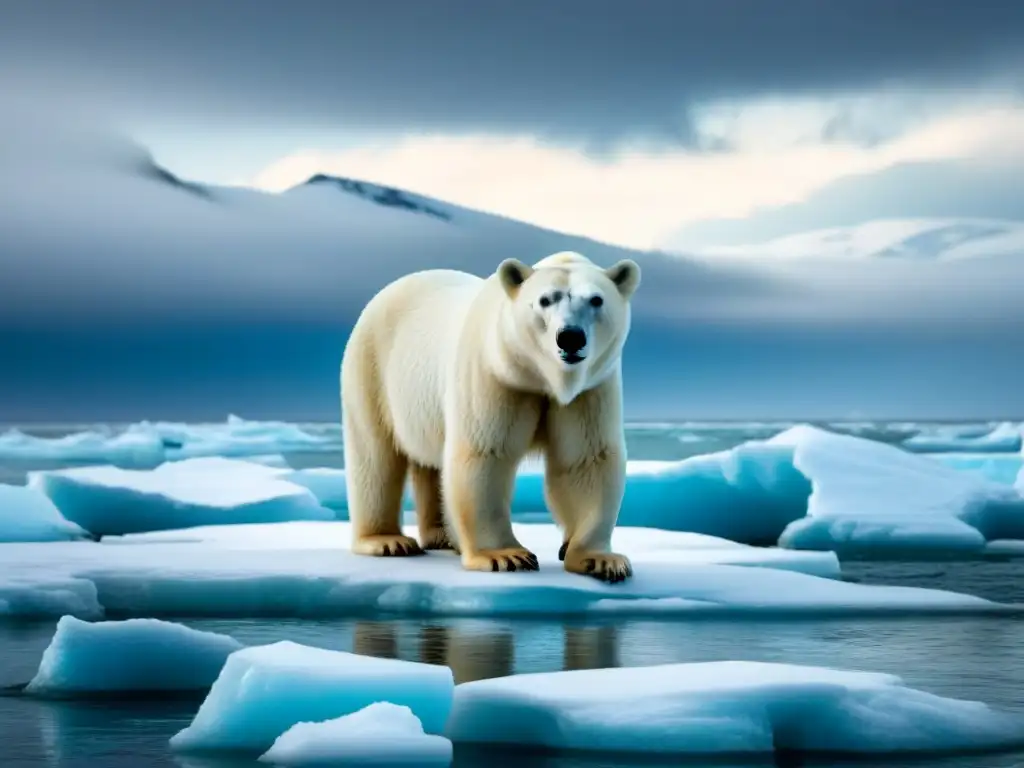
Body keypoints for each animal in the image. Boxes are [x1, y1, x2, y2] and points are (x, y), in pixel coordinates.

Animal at [339, 252, 634, 581]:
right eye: (545, 300)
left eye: (596, 299)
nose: (570, 337)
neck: (539, 377)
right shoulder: (493, 375)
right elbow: (485, 454)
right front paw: (505, 556)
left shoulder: (590, 390)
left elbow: (586, 459)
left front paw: (600, 560)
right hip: (373, 371)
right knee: (375, 455)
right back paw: (388, 540)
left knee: (430, 463)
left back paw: (443, 536)